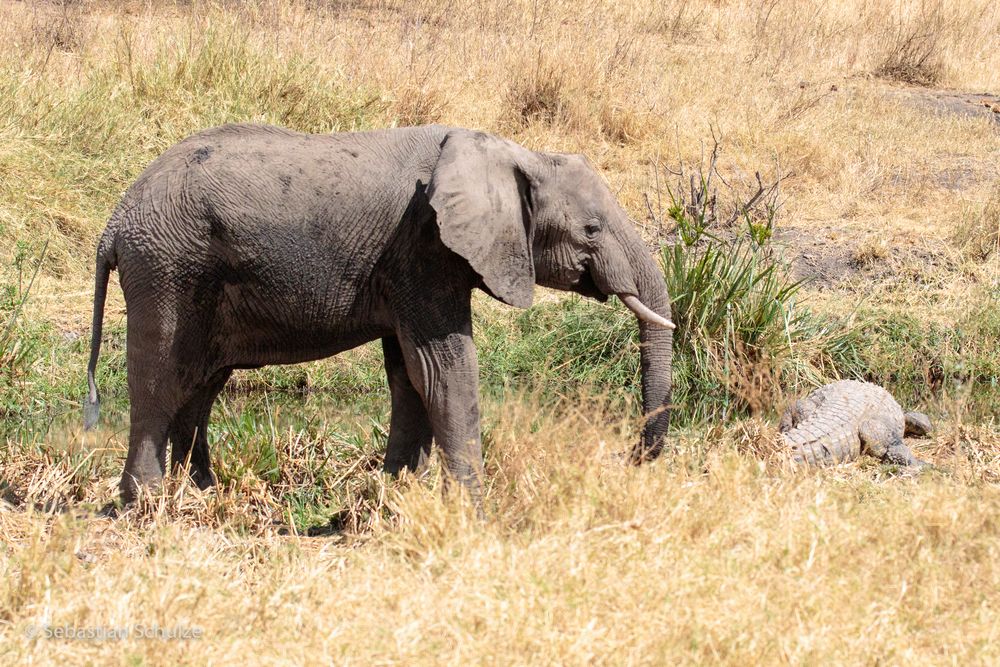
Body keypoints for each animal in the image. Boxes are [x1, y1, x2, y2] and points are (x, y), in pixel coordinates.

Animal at [86, 124, 676, 506]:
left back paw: (205, 497)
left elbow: (409, 374)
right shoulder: (423, 248)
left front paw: (395, 493)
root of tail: (113, 224)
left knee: (202, 382)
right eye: (592, 230)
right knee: (162, 378)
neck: (514, 154)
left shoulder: (410, 263)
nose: (628, 459)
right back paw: (145, 506)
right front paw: (472, 509)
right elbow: (443, 366)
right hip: (167, 268)